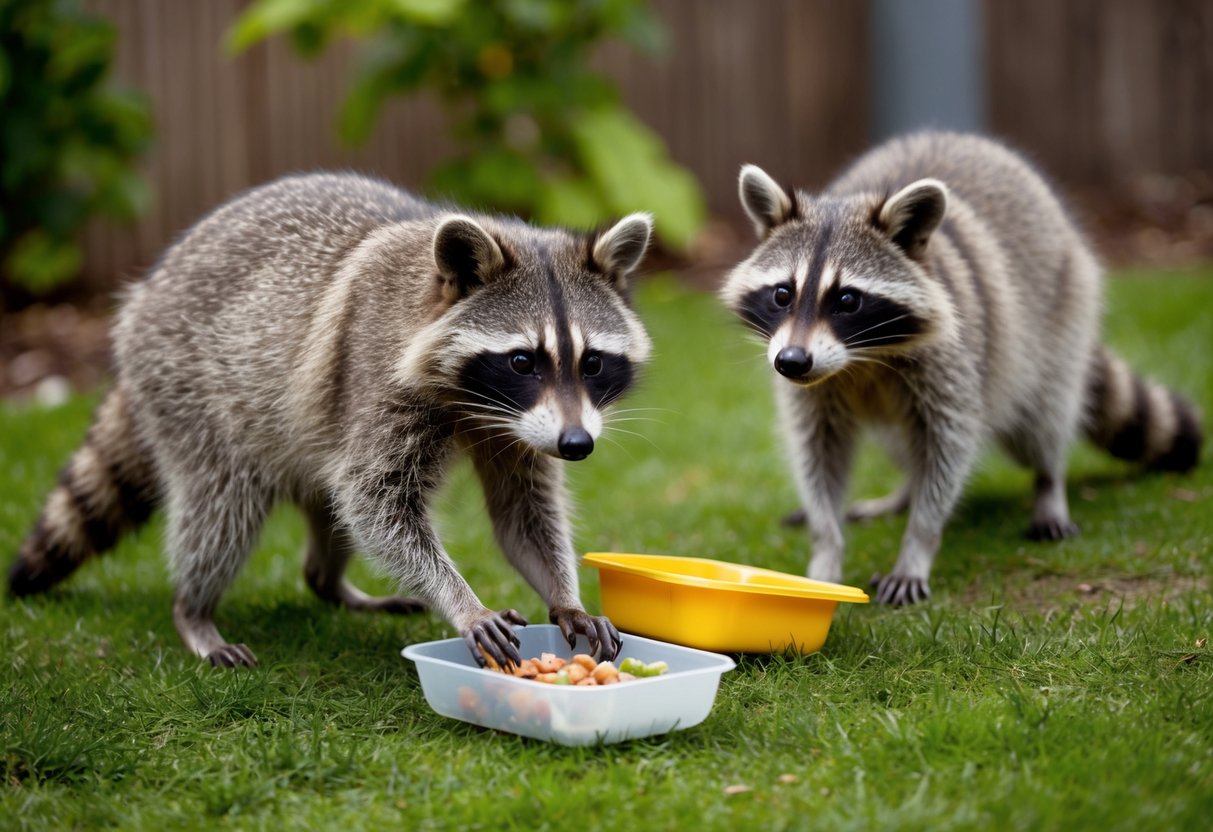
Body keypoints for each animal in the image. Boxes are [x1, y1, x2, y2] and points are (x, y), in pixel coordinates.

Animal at [8, 172, 654, 667]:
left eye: (592, 362)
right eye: (523, 360)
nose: (577, 444)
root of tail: (143, 296)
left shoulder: (521, 427)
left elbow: (521, 513)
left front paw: (564, 595)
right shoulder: (377, 378)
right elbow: (377, 503)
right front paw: (463, 601)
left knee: (326, 502)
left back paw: (329, 581)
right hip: (189, 384)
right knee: (222, 507)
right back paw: (193, 610)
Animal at [720, 132, 1203, 605]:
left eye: (848, 300)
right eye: (782, 294)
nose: (791, 362)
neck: (861, 360)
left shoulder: (953, 362)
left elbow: (948, 448)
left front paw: (917, 544)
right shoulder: (814, 392)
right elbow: (817, 454)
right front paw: (825, 547)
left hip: (1058, 318)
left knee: (1041, 422)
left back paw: (1049, 486)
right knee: (902, 446)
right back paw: (901, 494)